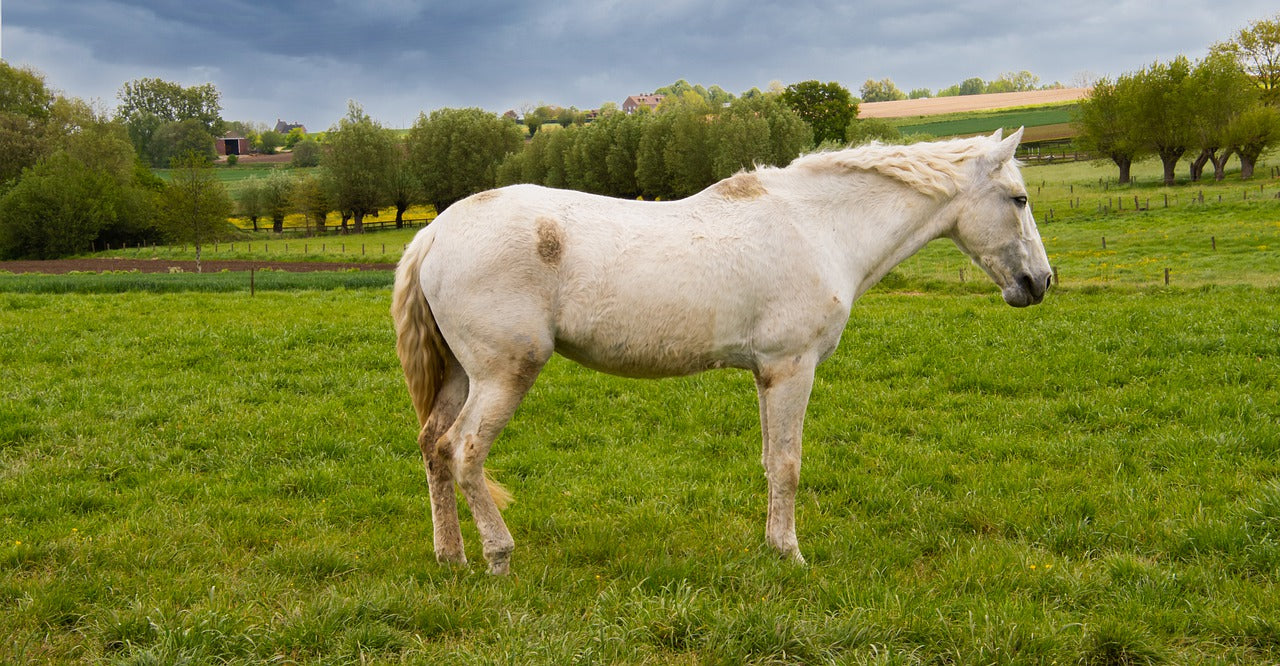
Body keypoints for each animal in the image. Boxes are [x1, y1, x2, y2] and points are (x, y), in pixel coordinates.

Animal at [392, 128, 1051, 574]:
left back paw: (451, 556)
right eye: (1019, 199)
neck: (819, 226)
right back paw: (499, 556)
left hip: (461, 377)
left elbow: (768, 462)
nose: (1041, 282)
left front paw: (772, 546)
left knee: (433, 447)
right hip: (504, 375)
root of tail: (435, 233)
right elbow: (788, 464)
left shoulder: (766, 375)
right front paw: (789, 554)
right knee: (463, 451)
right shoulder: (791, 369)